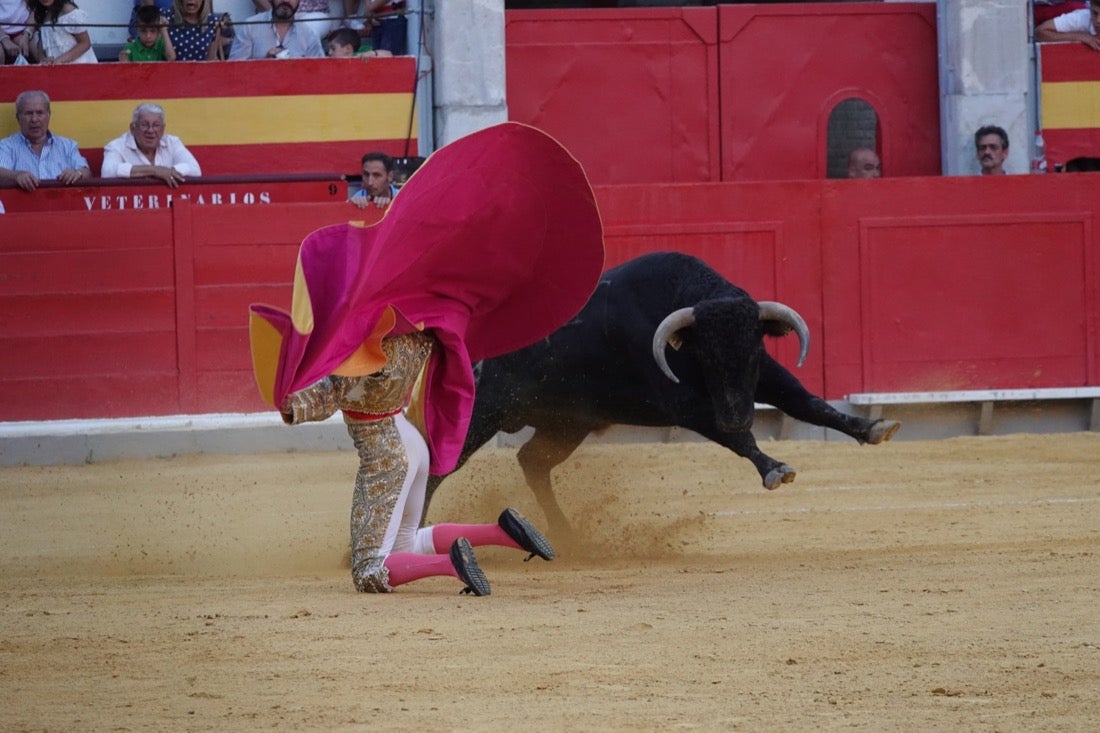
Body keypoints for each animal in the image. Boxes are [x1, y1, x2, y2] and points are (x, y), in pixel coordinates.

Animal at [424, 250, 897, 530]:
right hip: (484, 413)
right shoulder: (685, 404)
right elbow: (737, 438)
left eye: (751, 352)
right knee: (439, 468)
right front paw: (775, 468)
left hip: (566, 424)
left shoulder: (764, 375)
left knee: (532, 460)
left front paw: (872, 428)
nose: (737, 413)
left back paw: (565, 531)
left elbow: (807, 401)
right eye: (706, 357)